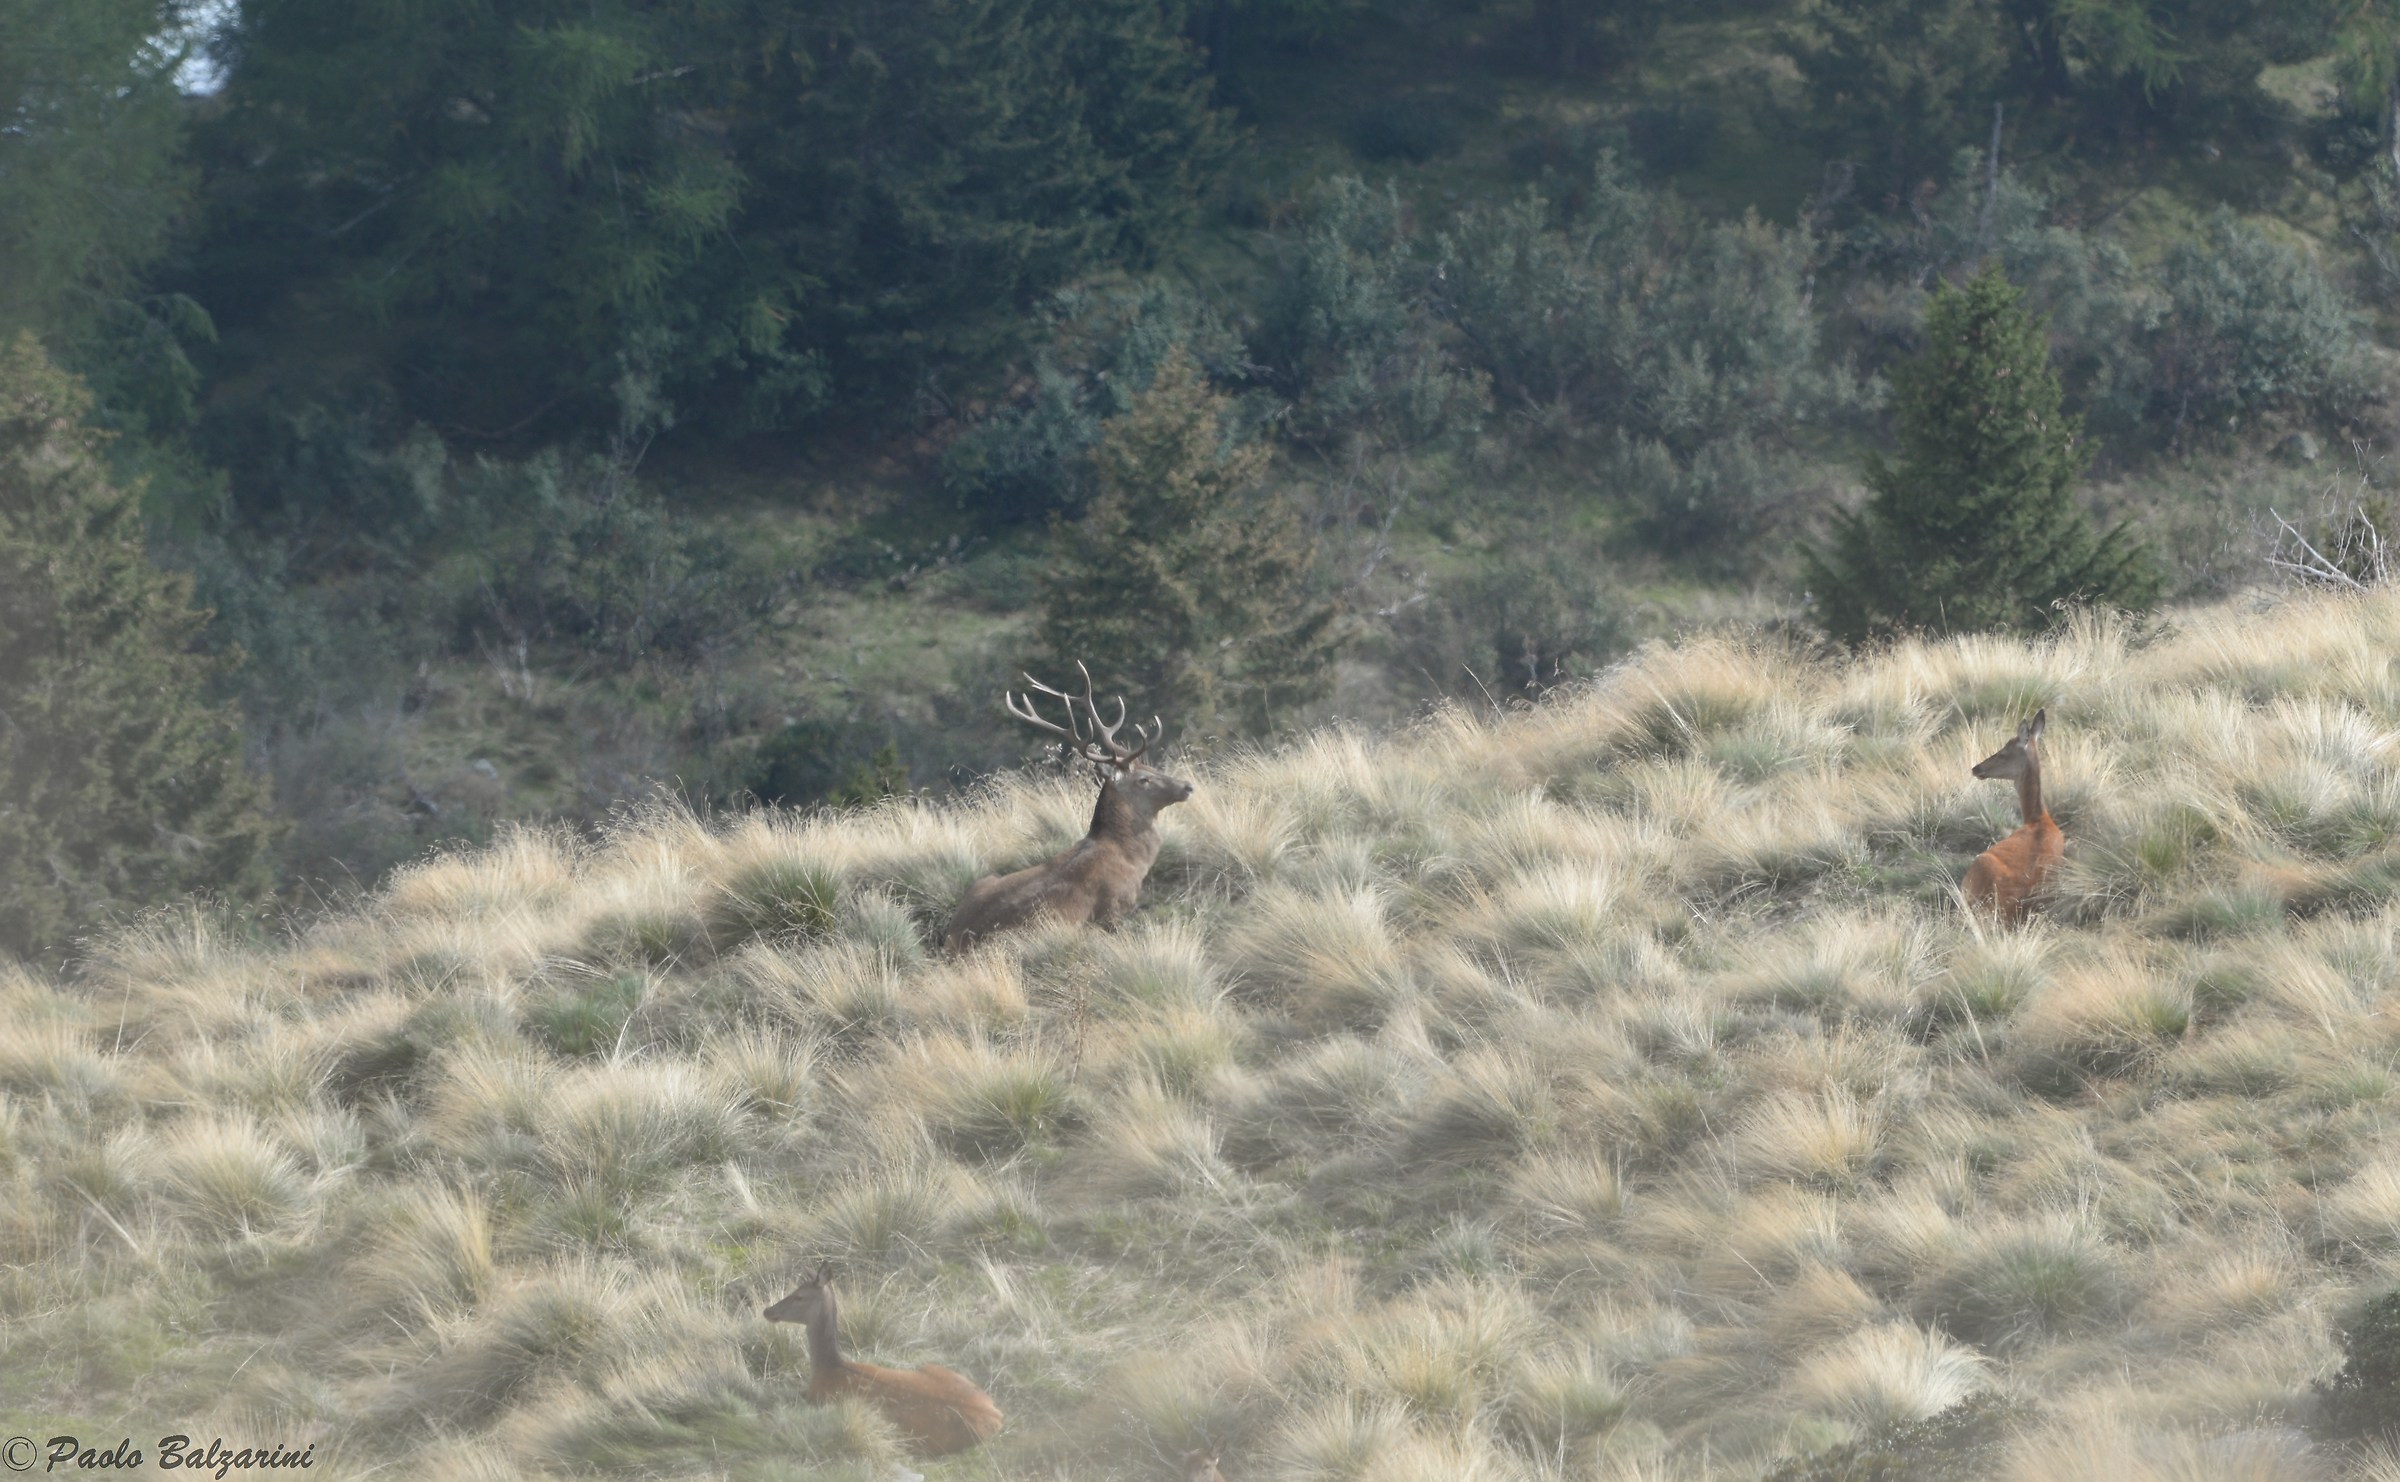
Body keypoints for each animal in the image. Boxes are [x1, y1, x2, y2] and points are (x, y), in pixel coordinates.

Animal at [762, 1260, 1003, 1458]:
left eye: (799, 1296)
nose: (767, 1310)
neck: (828, 1368)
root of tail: (996, 1416)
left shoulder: (817, 1400)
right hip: (935, 1368)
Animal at [942, 662, 1194, 954]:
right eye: (1144, 779)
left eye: (1150, 768)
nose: (1187, 786)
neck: (1131, 858)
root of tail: (954, 941)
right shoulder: (1114, 908)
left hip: (983, 881)